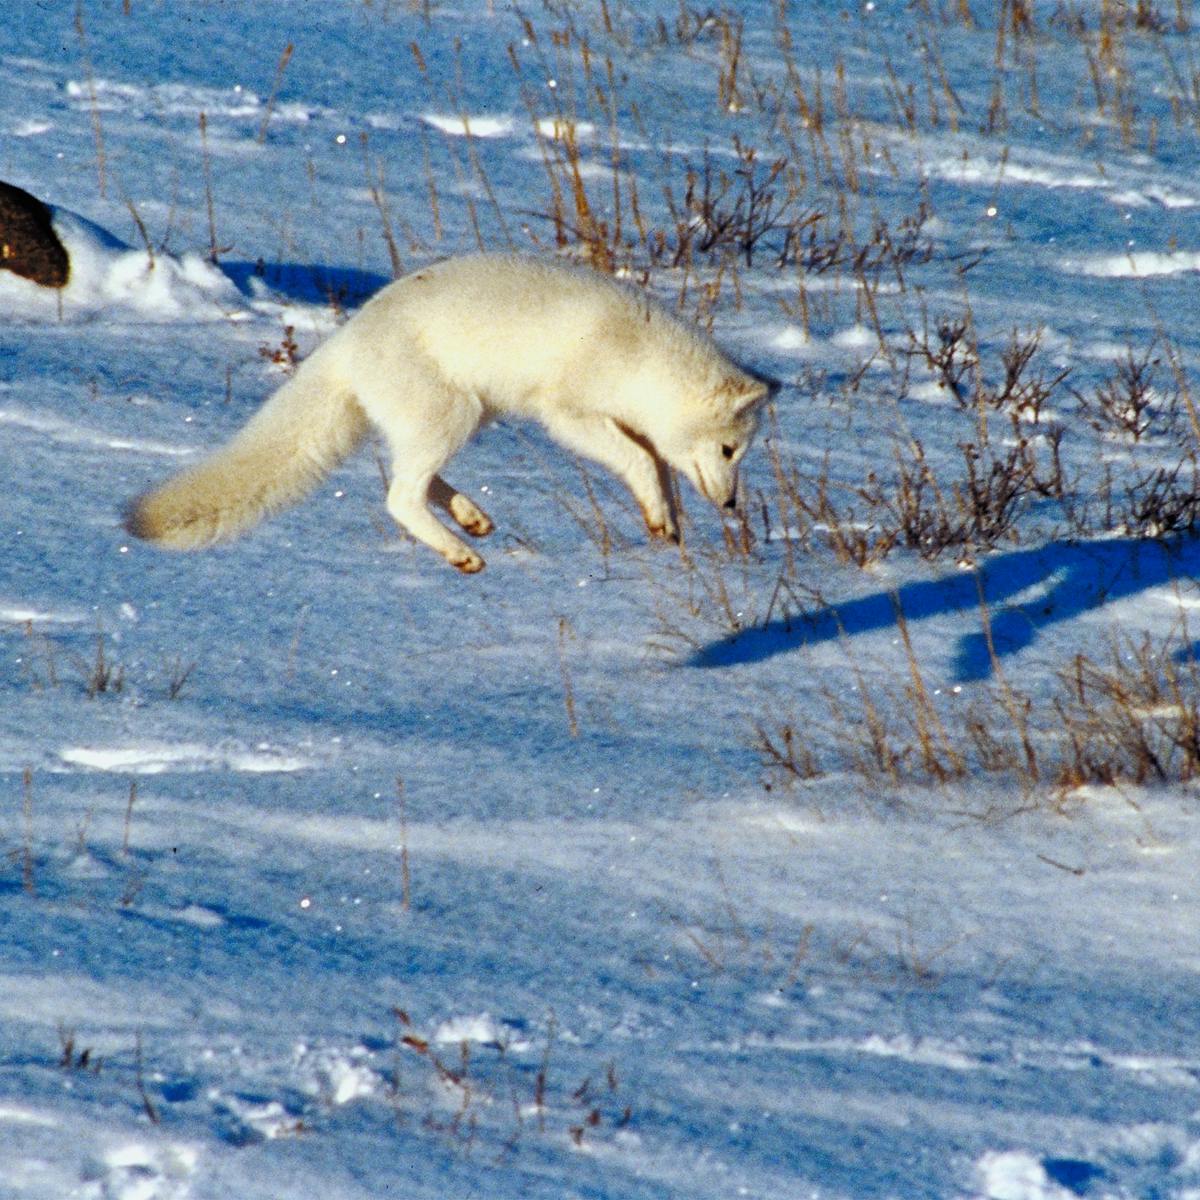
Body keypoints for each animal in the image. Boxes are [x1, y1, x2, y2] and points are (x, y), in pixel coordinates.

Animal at [124, 252, 773, 573]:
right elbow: (637, 459)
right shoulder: (565, 413)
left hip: (462, 417)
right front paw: (662, 514)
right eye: (728, 449)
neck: (641, 359)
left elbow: (656, 467)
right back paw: (463, 551)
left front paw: (666, 521)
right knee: (399, 496)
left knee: (417, 479)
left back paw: (471, 518)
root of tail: (348, 338)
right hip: (453, 414)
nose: (732, 505)